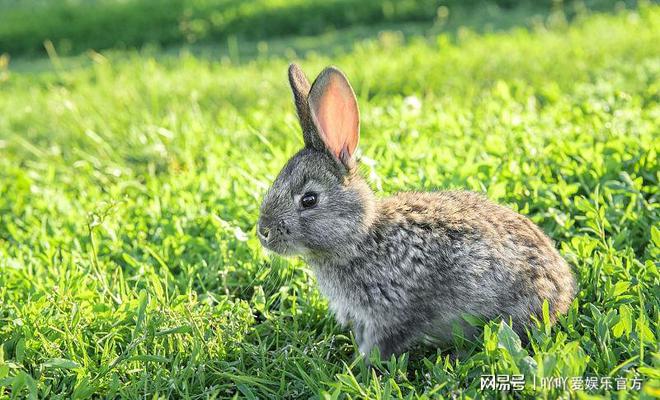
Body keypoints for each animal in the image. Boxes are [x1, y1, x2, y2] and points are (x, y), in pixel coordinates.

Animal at [255, 63, 576, 360]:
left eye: (309, 200)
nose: (263, 232)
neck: (360, 238)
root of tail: (563, 289)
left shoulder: (391, 313)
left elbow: (379, 345)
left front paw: (358, 368)